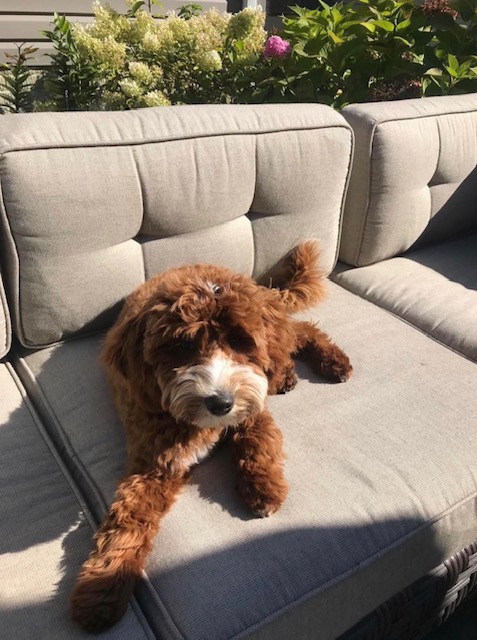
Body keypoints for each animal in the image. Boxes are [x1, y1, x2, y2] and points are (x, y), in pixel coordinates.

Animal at [71, 239, 354, 632]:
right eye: (183, 346)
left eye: (240, 341)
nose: (221, 403)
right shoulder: (153, 464)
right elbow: (126, 524)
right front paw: (100, 591)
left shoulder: (251, 409)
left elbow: (258, 443)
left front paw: (264, 487)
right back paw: (288, 375)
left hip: (278, 336)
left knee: (299, 333)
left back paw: (326, 363)